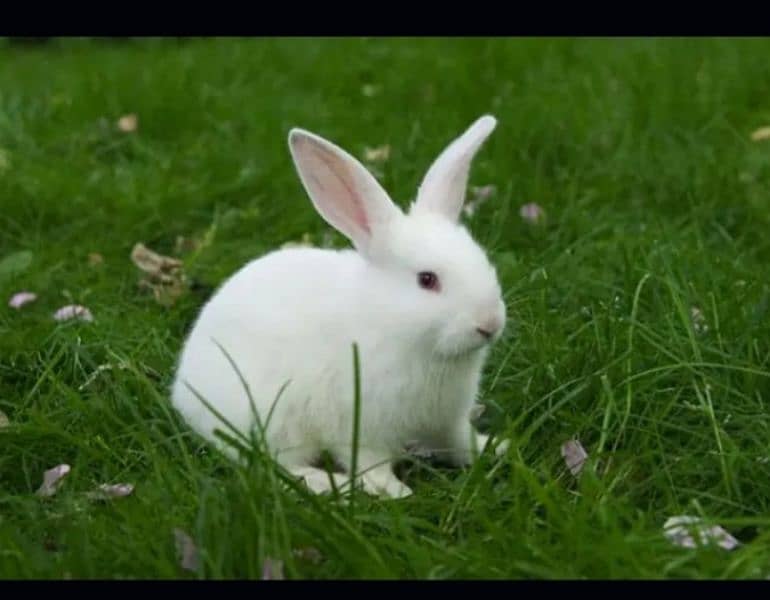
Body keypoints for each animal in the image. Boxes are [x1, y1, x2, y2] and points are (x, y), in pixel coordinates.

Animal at [175, 115, 510, 500]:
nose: (490, 323)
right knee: (274, 466)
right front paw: (395, 491)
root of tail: (182, 390)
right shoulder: (360, 429)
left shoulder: (448, 419)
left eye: (484, 261)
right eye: (427, 280)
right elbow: (370, 463)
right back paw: (324, 483)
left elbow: (460, 442)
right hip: (272, 421)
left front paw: (496, 447)